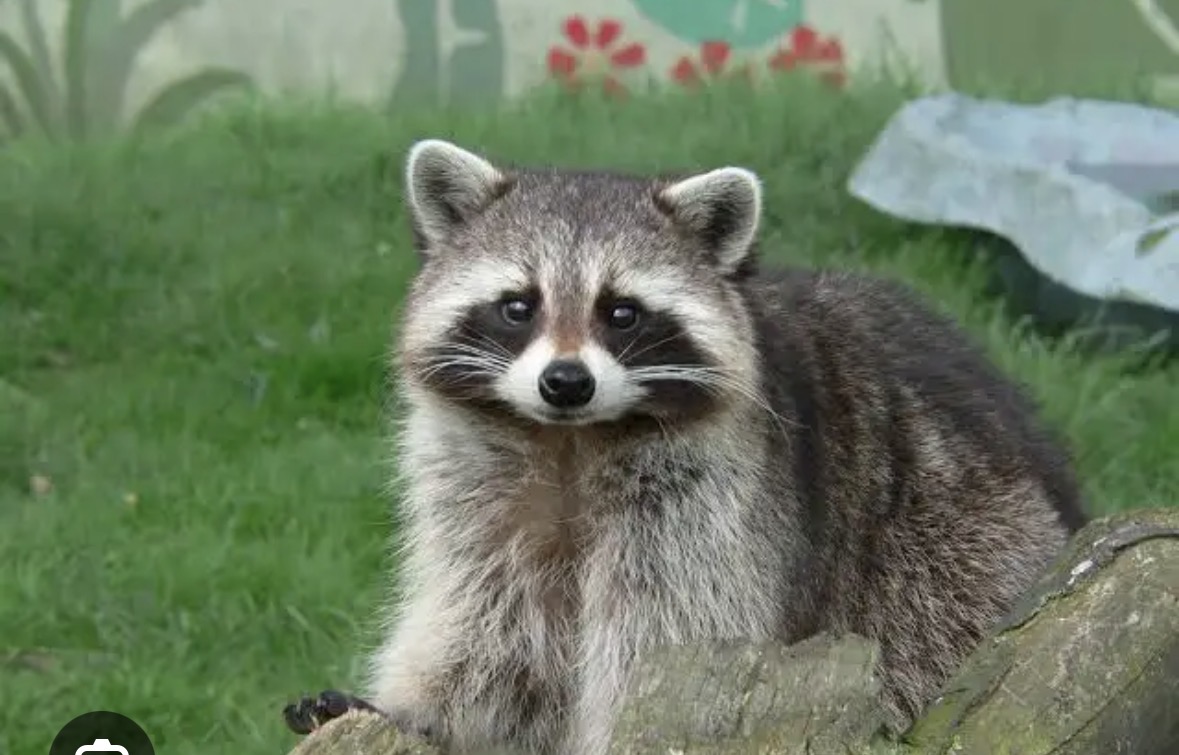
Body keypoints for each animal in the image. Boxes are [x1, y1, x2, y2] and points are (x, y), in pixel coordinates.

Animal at [283, 139, 1087, 755]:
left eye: (621, 313)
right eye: (518, 306)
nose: (565, 382)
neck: (569, 441)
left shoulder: (712, 507)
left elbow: (666, 637)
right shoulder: (479, 495)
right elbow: (488, 631)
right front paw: (417, 711)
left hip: (956, 552)